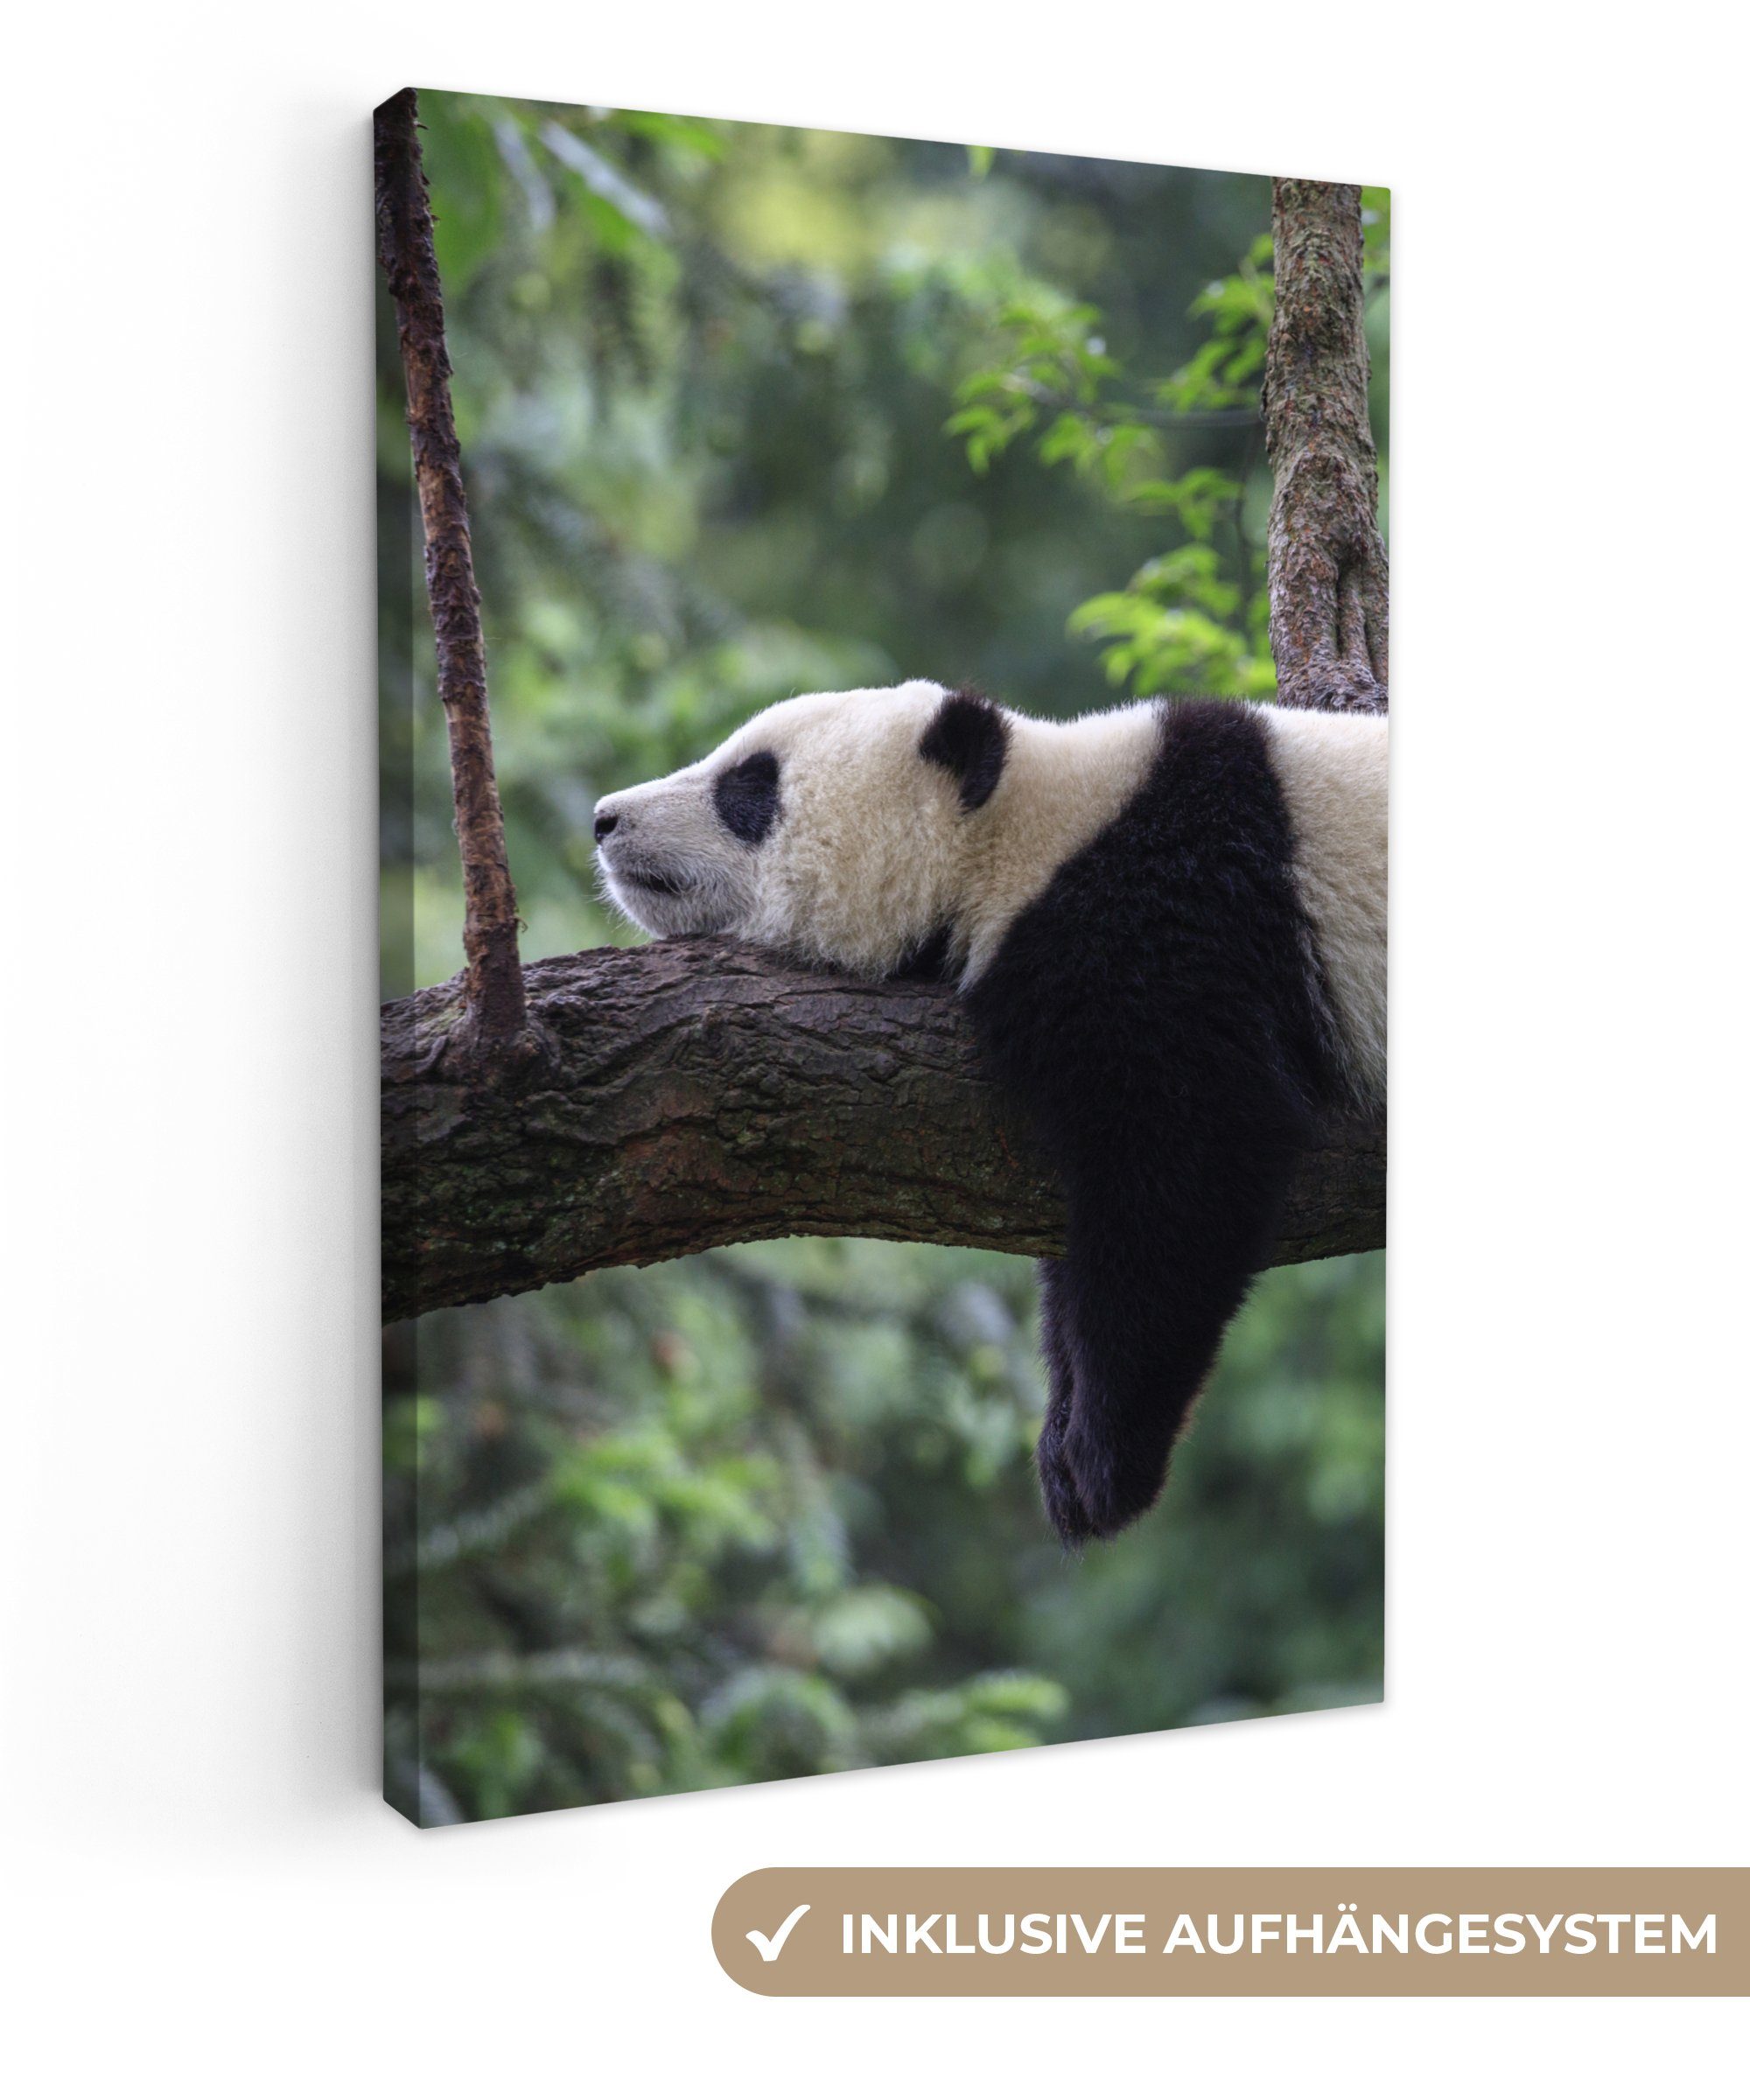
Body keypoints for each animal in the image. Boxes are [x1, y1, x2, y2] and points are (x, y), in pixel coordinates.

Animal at [592, 679, 1386, 1545]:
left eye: (750, 786)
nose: (604, 819)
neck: (1023, 832)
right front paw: (1063, 1442)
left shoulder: (1172, 916)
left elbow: (1194, 1154)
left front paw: (1106, 1459)